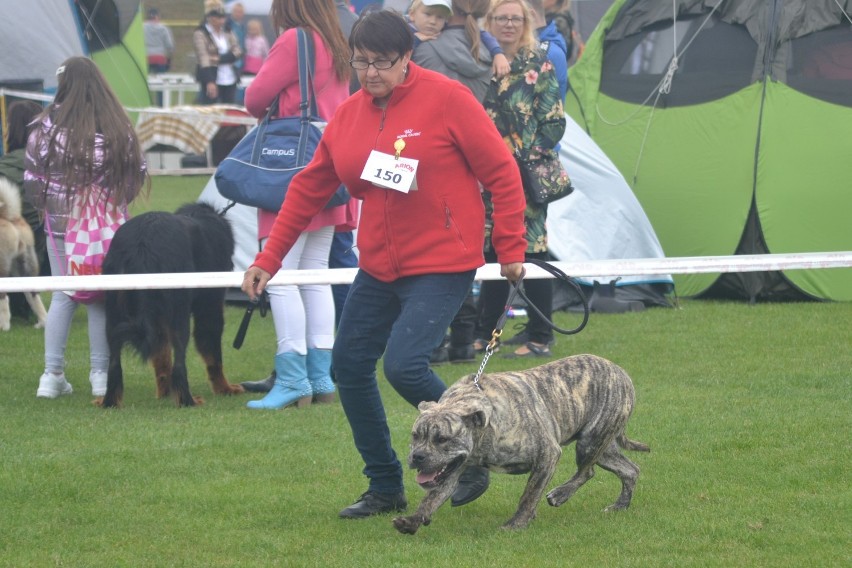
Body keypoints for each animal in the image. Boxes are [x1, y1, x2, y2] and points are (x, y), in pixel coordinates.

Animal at [101, 204, 246, 408]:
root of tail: (143, 242)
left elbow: (161, 357)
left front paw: (165, 392)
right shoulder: (210, 307)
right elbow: (213, 354)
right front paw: (225, 389)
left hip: (114, 314)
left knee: (114, 363)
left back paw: (110, 401)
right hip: (179, 312)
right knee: (179, 361)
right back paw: (188, 400)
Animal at [394, 352, 652, 536]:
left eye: (442, 439)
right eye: (415, 436)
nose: (417, 456)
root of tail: (620, 371)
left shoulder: (547, 455)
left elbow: (529, 494)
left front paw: (517, 523)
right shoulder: (451, 470)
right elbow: (431, 499)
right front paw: (413, 521)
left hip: (590, 441)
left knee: (586, 472)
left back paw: (560, 494)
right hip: (603, 448)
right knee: (629, 470)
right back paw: (620, 506)